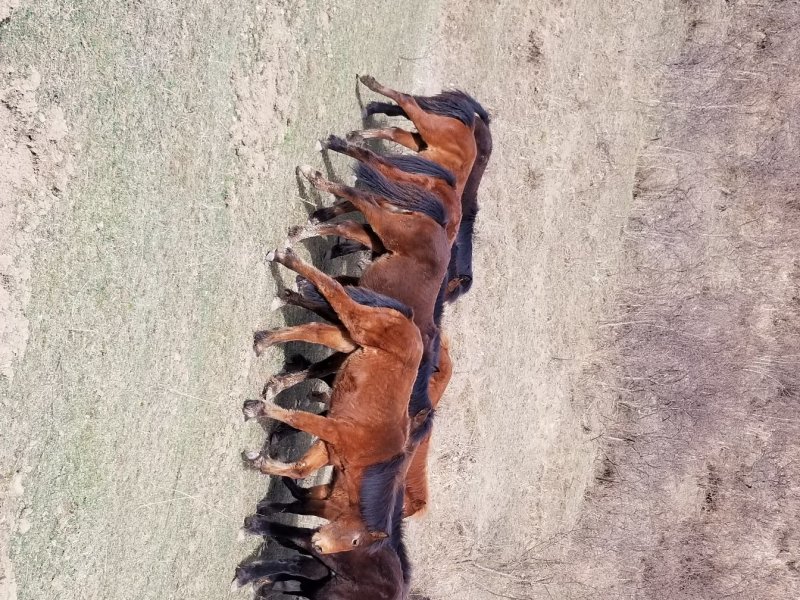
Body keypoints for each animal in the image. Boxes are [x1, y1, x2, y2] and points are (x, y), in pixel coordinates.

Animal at [245, 247, 422, 554]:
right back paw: (284, 258)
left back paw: (265, 340)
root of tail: (410, 320)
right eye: (355, 540)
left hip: (345, 339)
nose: (317, 546)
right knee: (335, 291)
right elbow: (297, 418)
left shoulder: (329, 448)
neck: (370, 454)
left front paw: (260, 461)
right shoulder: (335, 430)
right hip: (357, 324)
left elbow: (300, 469)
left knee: (315, 329)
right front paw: (255, 409)